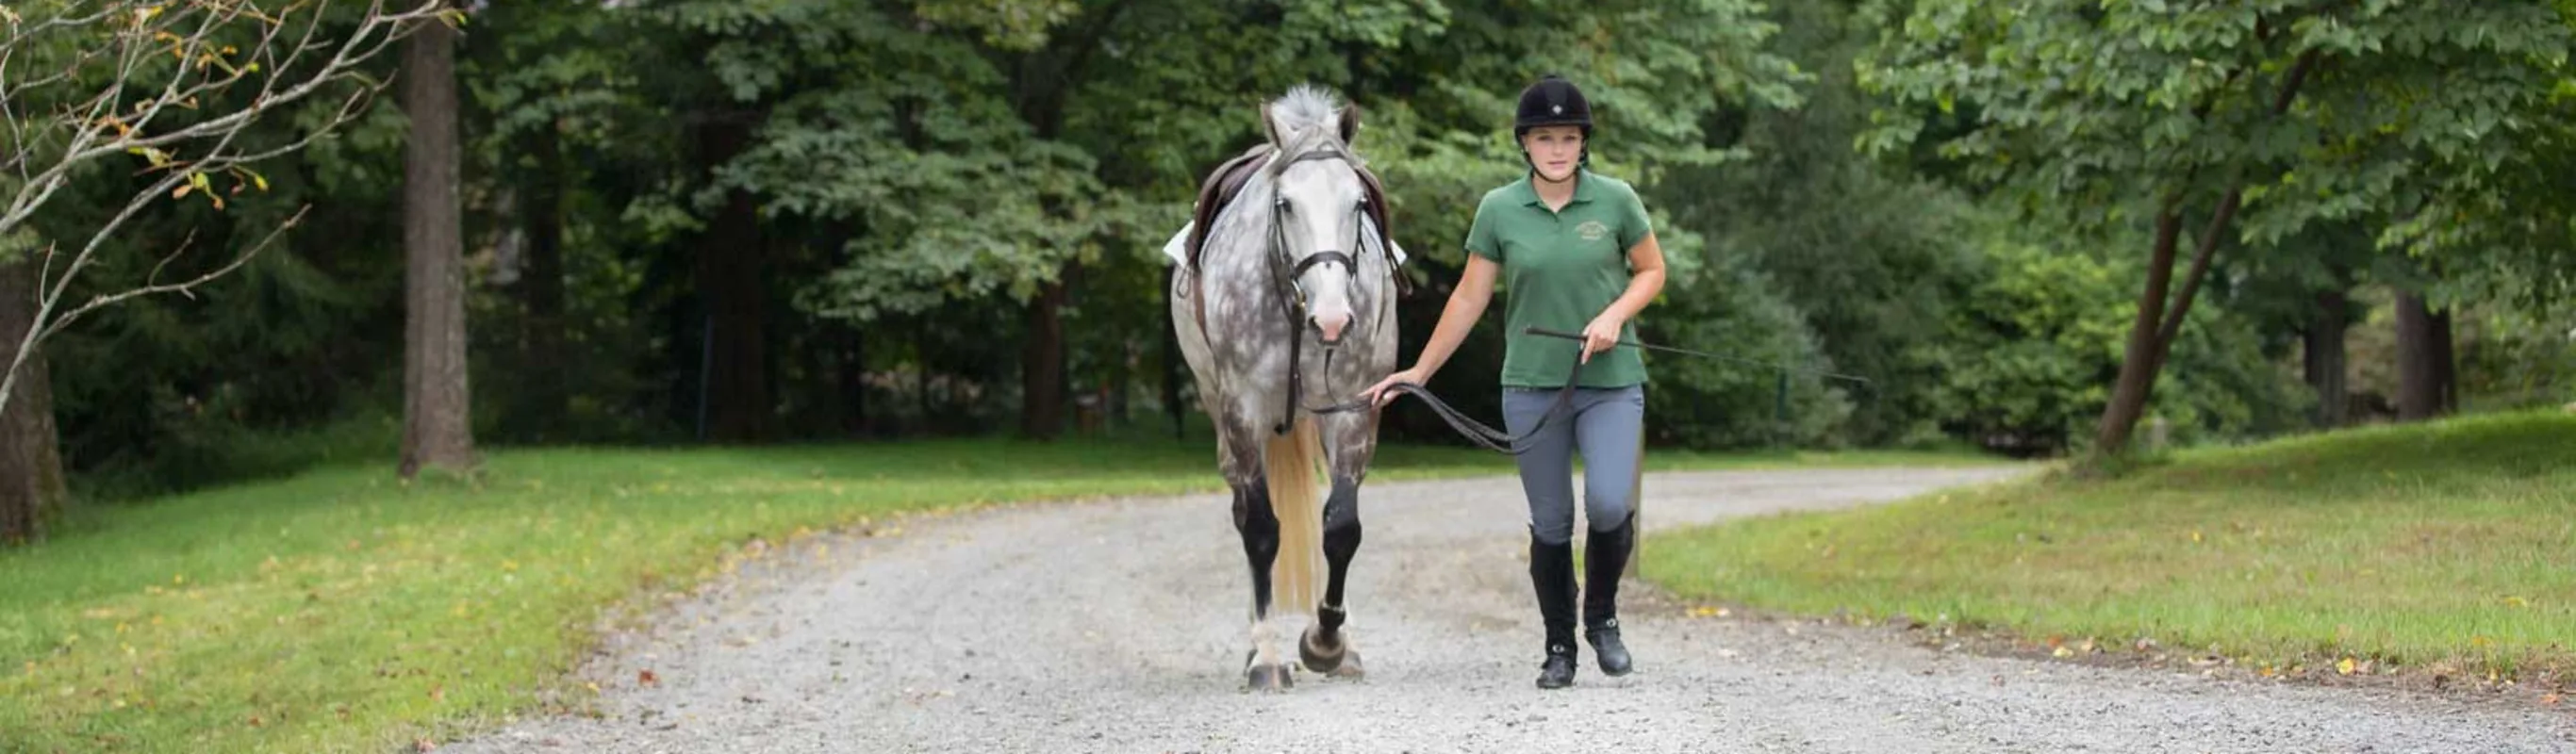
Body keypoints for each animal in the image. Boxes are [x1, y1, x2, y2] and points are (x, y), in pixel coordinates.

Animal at [1167, 85, 1403, 691]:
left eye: (1358, 203)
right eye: (1286, 204)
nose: (1333, 318)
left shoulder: (1355, 413)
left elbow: (1341, 527)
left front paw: (1329, 642)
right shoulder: (1243, 412)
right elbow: (1260, 530)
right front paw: (1268, 658)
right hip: (1221, 417)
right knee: (1243, 513)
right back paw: (1258, 643)